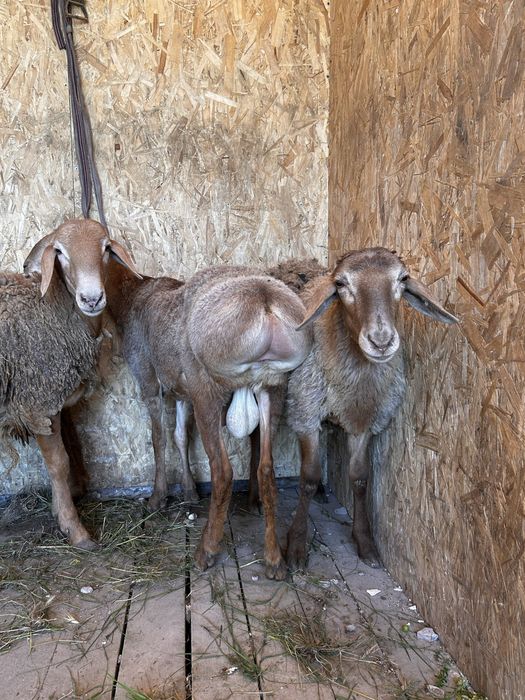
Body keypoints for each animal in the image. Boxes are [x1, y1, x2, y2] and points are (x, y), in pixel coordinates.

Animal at [3, 218, 141, 547]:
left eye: (105, 248)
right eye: (60, 252)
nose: (92, 299)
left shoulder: (59, 400)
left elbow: (72, 449)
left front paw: (61, 506)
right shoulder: (39, 399)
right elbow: (59, 463)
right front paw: (74, 529)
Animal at [269, 248, 458, 570]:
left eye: (402, 279)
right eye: (341, 284)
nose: (381, 341)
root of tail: (295, 262)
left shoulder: (365, 419)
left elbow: (360, 479)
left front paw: (365, 542)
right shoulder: (306, 412)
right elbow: (308, 478)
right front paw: (296, 545)